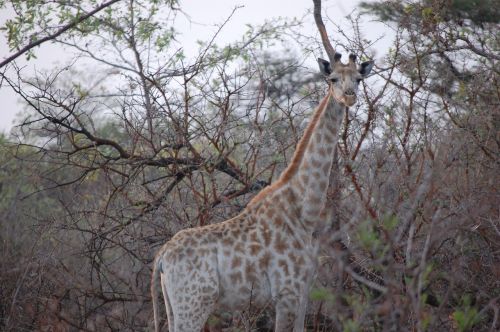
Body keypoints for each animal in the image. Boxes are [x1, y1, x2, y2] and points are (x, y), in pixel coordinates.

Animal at [150, 53, 374, 330]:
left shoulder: (303, 290)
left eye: (358, 79)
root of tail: (162, 256)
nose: (349, 96)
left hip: (174, 306)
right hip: (193, 303)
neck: (303, 211)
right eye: (332, 79)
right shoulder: (285, 292)